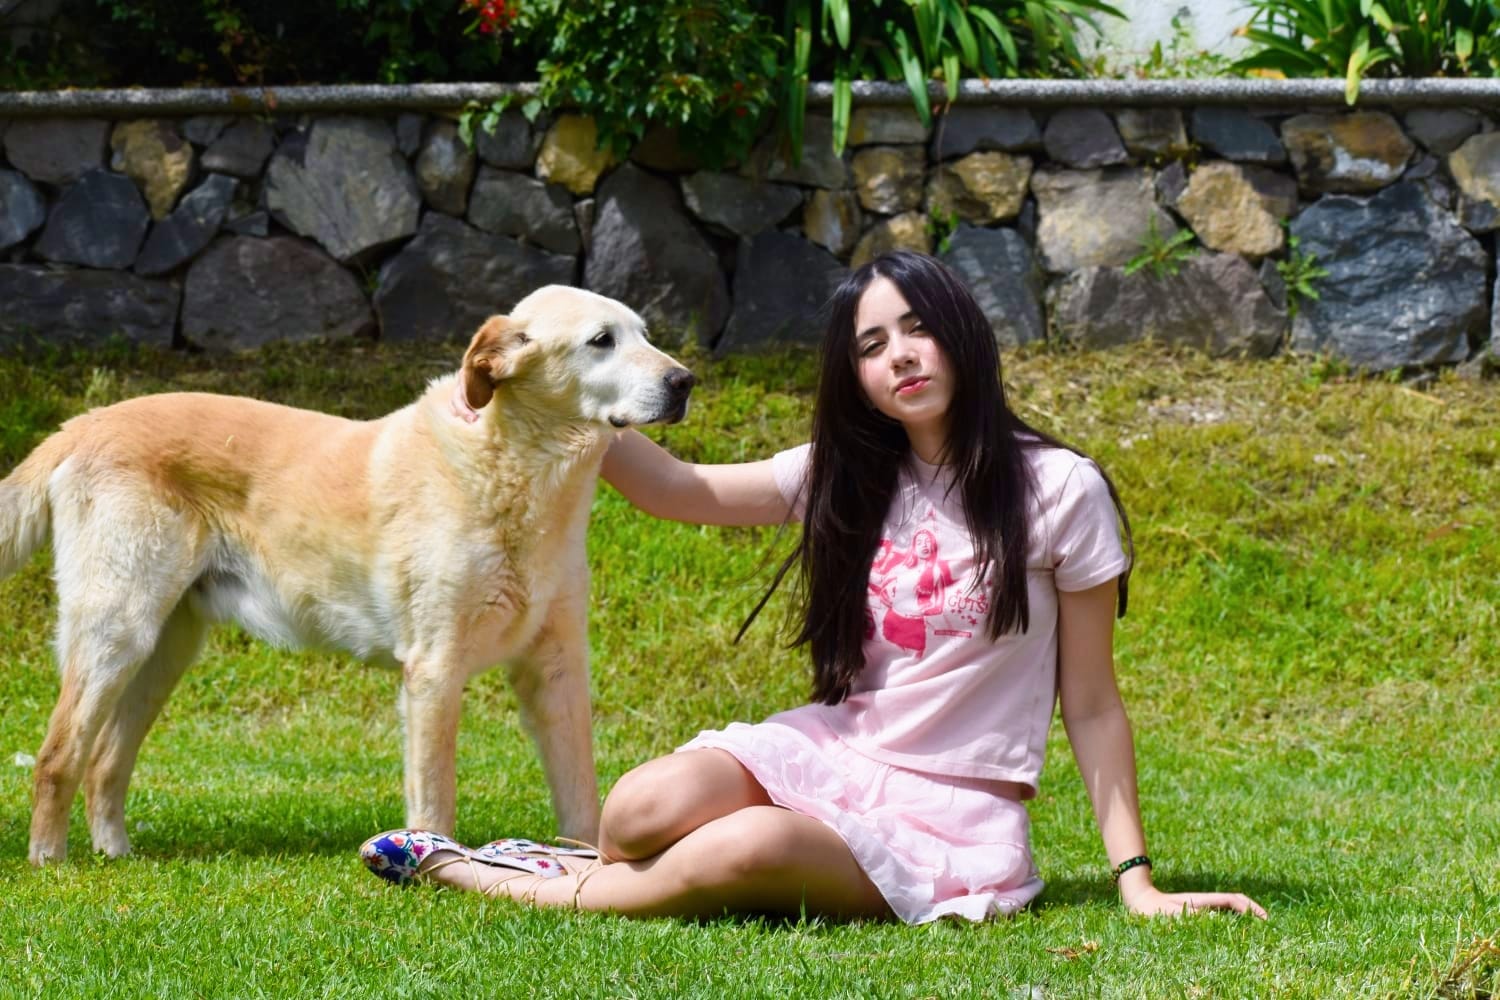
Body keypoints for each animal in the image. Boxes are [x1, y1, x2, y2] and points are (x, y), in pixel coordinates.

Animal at [0, 284, 694, 865]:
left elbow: (582, 795)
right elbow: (434, 798)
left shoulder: (556, 671)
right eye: (601, 340)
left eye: (643, 333)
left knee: (104, 762)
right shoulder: (434, 669)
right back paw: (50, 861)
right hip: (118, 632)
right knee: (58, 757)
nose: (685, 381)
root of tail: (79, 425)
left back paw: (115, 854)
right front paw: (433, 871)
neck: (521, 472)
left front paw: (593, 868)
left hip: (164, 651)